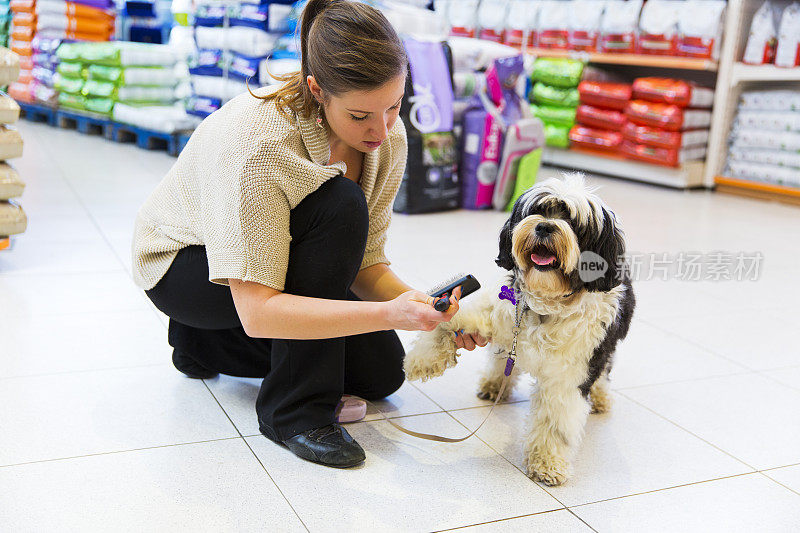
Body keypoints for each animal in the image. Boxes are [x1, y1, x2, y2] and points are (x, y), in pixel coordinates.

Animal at [406, 174, 636, 486]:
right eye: (538, 210)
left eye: (573, 222)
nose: (544, 226)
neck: (546, 307)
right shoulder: (499, 313)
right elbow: (449, 320)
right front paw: (422, 359)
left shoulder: (569, 374)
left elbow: (554, 422)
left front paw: (547, 463)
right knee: (503, 360)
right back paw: (494, 385)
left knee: (605, 369)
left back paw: (599, 397)